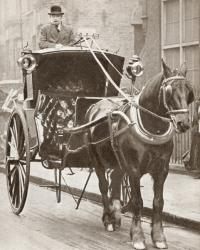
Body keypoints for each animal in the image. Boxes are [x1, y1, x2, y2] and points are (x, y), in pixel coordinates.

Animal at [85, 59, 194, 249]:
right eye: (169, 91)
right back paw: (108, 219)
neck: (152, 127)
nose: (184, 124)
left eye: (188, 91)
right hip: (97, 160)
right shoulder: (134, 169)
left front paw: (158, 237)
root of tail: (95, 105)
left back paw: (116, 215)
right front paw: (137, 236)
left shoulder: (162, 170)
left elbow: (158, 202)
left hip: (119, 162)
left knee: (115, 181)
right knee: (104, 186)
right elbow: (137, 201)